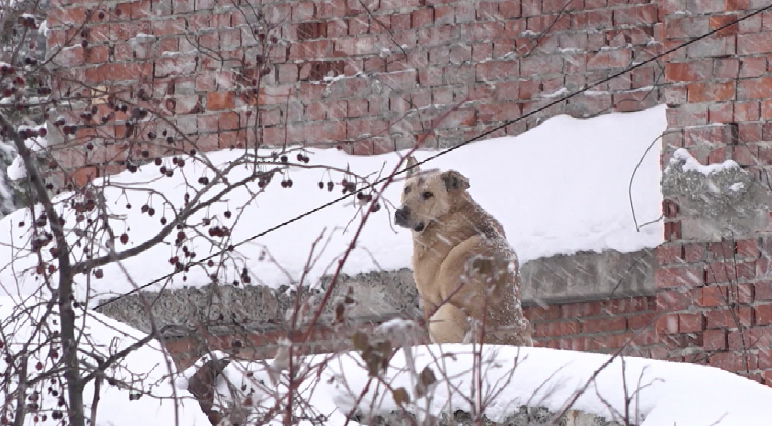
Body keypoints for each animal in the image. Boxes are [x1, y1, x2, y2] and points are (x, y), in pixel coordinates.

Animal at [392, 156, 532, 346]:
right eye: (407, 189)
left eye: (428, 194)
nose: (400, 213)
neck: (447, 214)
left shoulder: (429, 298)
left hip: (445, 312)